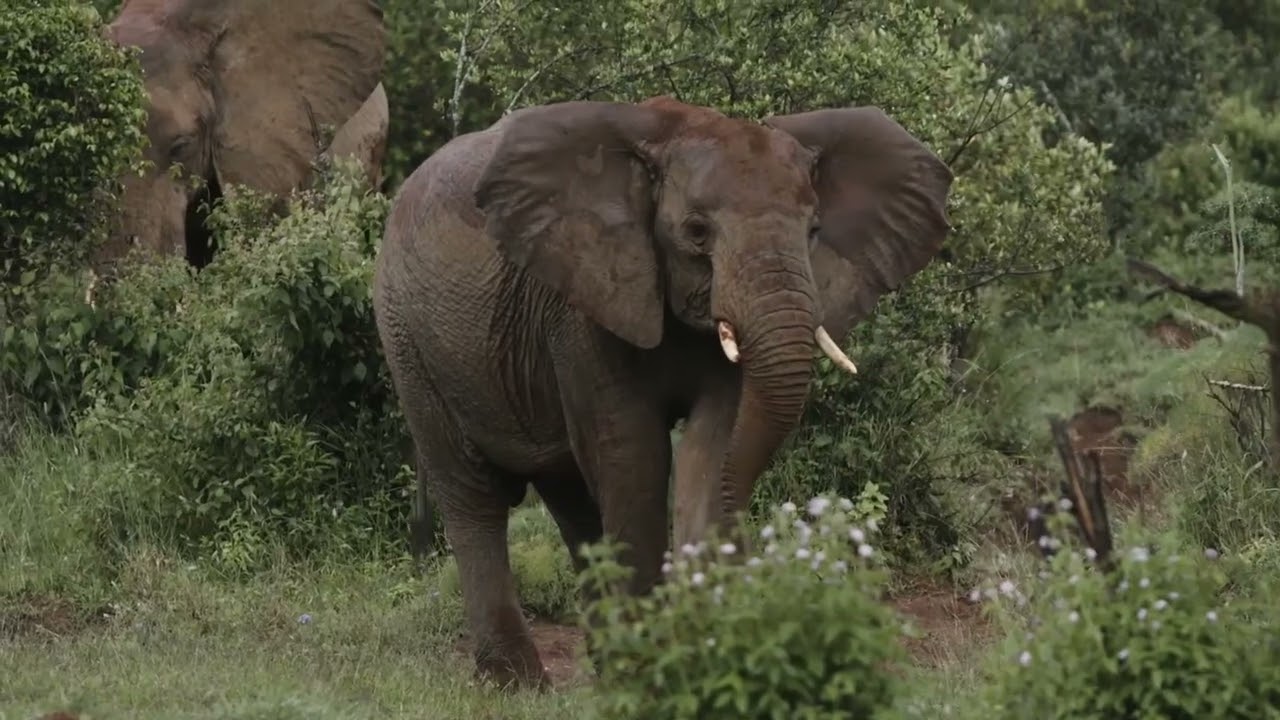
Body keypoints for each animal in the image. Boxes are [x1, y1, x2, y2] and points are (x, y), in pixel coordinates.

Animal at [373, 95, 954, 689]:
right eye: (696, 232)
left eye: (814, 229)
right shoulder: (587, 299)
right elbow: (634, 454)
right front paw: (650, 672)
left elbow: (712, 443)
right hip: (407, 338)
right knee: (474, 496)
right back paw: (516, 681)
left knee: (572, 501)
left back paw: (601, 661)